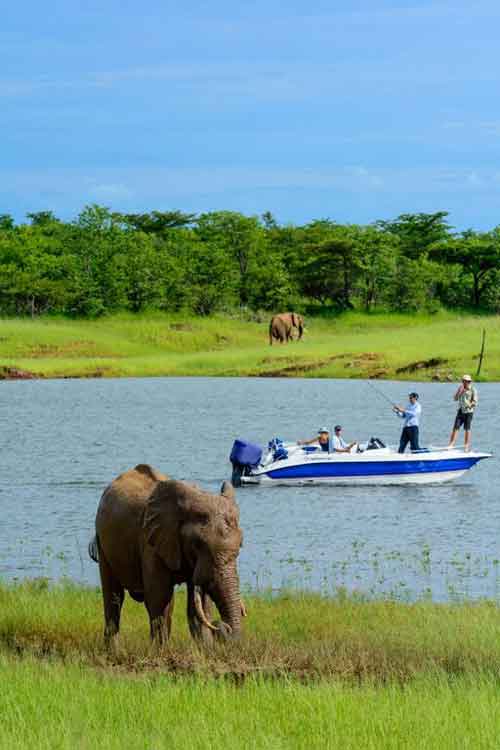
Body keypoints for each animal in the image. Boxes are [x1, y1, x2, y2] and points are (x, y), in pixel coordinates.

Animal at [92, 464, 246, 648]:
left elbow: (198, 605)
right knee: (114, 597)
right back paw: (114, 652)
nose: (222, 626)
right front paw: (161, 652)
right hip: (102, 539)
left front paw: (205, 649)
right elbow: (159, 597)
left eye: (240, 545)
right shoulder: (151, 541)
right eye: (197, 544)